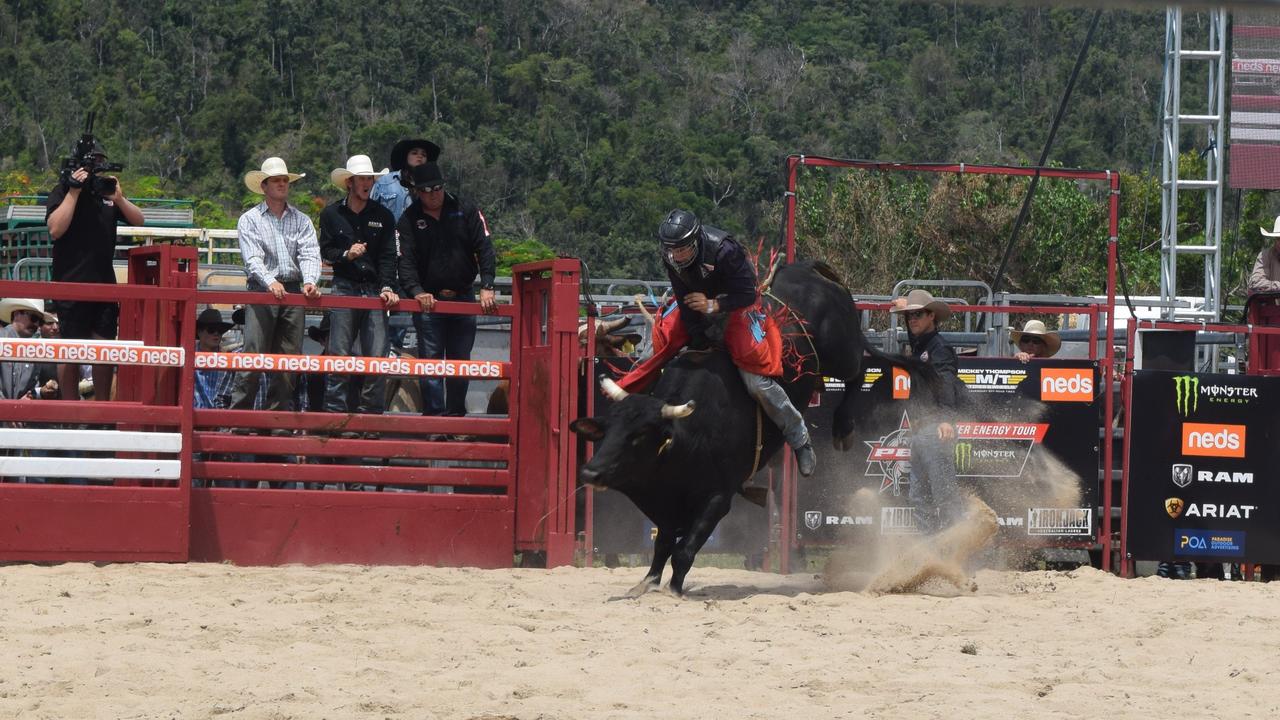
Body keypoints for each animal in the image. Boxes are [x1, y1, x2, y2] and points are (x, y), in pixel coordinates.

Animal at [570, 258, 931, 594]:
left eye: (638, 436)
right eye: (609, 431)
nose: (590, 472)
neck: (688, 436)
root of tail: (808, 270)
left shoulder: (717, 498)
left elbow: (685, 550)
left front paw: (673, 590)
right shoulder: (665, 504)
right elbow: (662, 545)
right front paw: (648, 583)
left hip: (840, 352)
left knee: (858, 372)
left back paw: (841, 431)